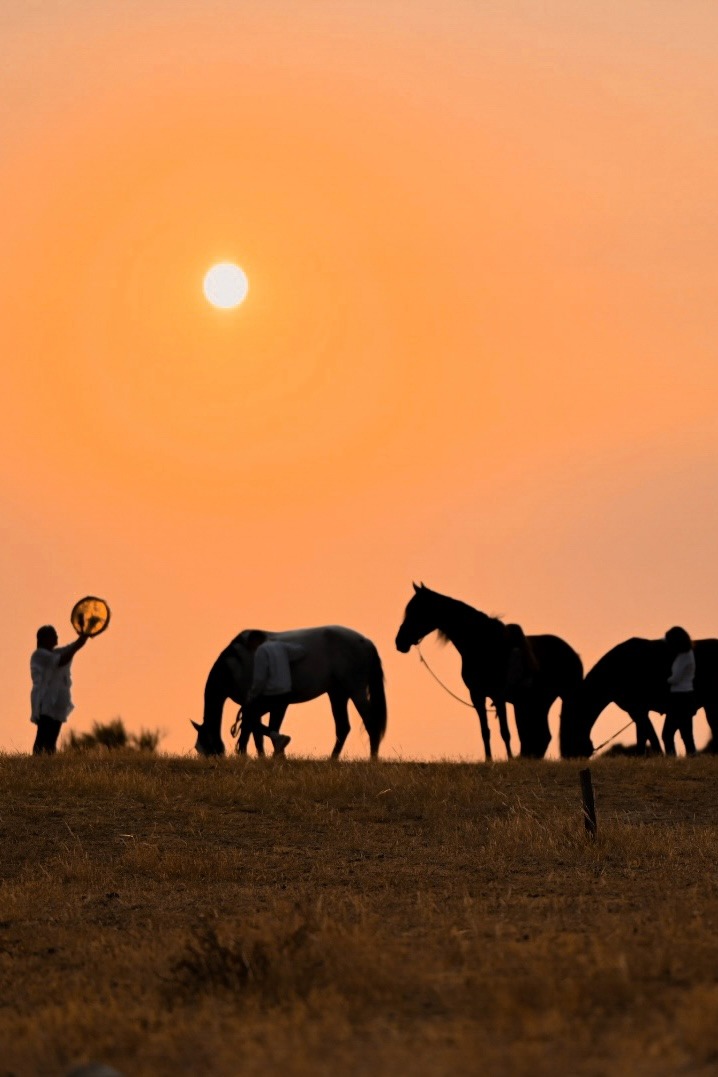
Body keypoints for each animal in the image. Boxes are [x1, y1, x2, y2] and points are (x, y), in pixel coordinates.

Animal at [192, 626, 387, 758]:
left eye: (205, 745)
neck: (235, 664)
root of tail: (366, 642)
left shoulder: (257, 703)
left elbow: (252, 727)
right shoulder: (261, 705)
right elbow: (256, 730)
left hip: (356, 691)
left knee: (370, 723)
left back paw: (372, 759)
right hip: (338, 694)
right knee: (343, 727)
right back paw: (332, 759)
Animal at [395, 584, 586, 759]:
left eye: (417, 611)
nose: (399, 642)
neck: (484, 645)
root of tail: (572, 653)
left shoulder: (498, 695)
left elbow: (505, 731)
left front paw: (509, 759)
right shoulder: (477, 695)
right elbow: (485, 731)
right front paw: (489, 759)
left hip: (564, 696)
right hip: (541, 701)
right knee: (544, 736)